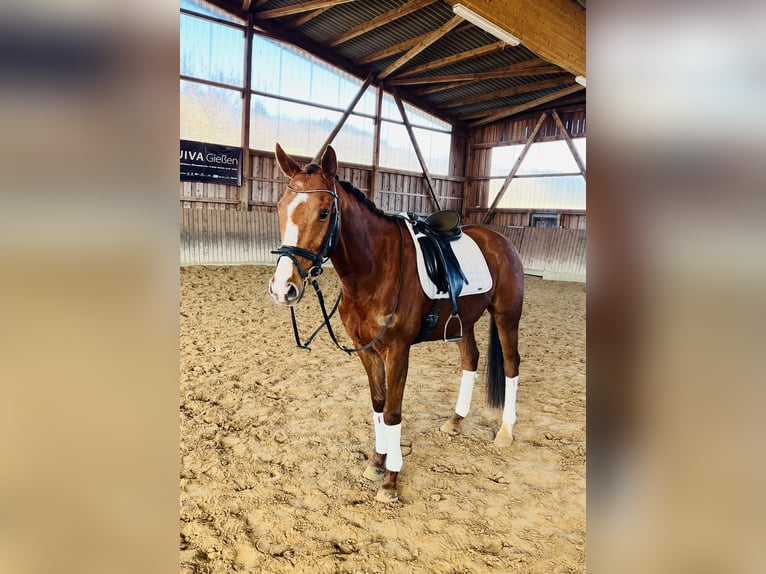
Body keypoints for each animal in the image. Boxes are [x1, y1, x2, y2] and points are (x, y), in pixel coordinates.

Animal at [268, 145, 524, 504]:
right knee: (470, 360)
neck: (373, 270)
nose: (282, 288)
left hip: (506, 316)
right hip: (464, 322)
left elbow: (392, 411)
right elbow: (378, 404)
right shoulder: (367, 350)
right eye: (280, 207)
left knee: (512, 366)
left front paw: (391, 479)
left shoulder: (398, 351)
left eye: (323, 212)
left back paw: (505, 430)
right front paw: (377, 462)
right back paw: (456, 421)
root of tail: (501, 240)